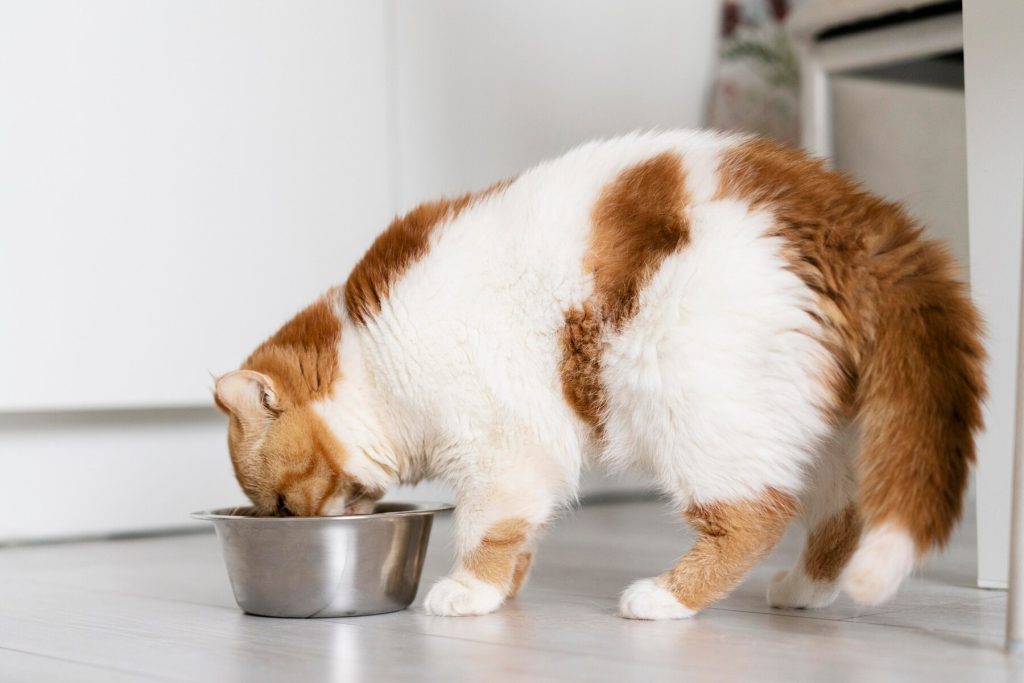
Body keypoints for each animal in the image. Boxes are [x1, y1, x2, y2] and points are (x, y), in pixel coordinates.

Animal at [214, 129, 983, 618]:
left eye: (280, 505)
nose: (294, 524)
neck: (376, 359)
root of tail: (851, 212)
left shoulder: (500, 447)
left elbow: (486, 527)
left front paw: (470, 590)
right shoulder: (524, 457)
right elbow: (520, 531)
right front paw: (506, 588)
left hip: (692, 404)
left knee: (757, 514)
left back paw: (666, 598)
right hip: (821, 426)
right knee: (843, 511)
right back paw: (806, 589)